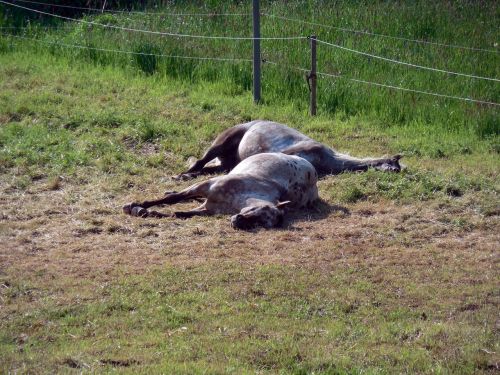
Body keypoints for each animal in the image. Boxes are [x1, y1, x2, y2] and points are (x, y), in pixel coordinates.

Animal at [122, 152, 316, 229]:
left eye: (261, 223)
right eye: (259, 209)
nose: (238, 221)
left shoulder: (208, 209)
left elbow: (178, 214)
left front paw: (144, 211)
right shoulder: (204, 186)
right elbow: (174, 200)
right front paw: (136, 205)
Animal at [174, 119, 400, 180]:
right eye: (395, 164)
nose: (398, 171)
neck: (326, 157)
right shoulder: (287, 153)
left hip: (227, 162)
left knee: (208, 168)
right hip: (223, 141)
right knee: (200, 162)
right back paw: (181, 176)